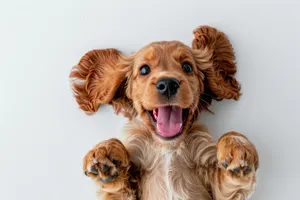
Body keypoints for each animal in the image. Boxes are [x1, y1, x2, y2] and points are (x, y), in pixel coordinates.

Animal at [69, 25, 258, 199]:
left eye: (187, 67)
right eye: (144, 69)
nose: (168, 84)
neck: (168, 148)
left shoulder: (221, 191)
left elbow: (231, 140)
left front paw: (237, 149)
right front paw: (104, 154)